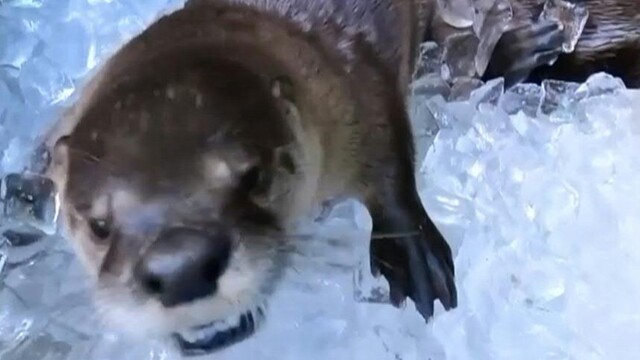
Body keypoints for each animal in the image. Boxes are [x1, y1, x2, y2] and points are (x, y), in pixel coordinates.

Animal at [40, 0, 458, 354]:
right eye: (98, 226)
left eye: (254, 176)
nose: (180, 271)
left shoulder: (349, 79)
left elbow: (387, 150)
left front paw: (414, 258)